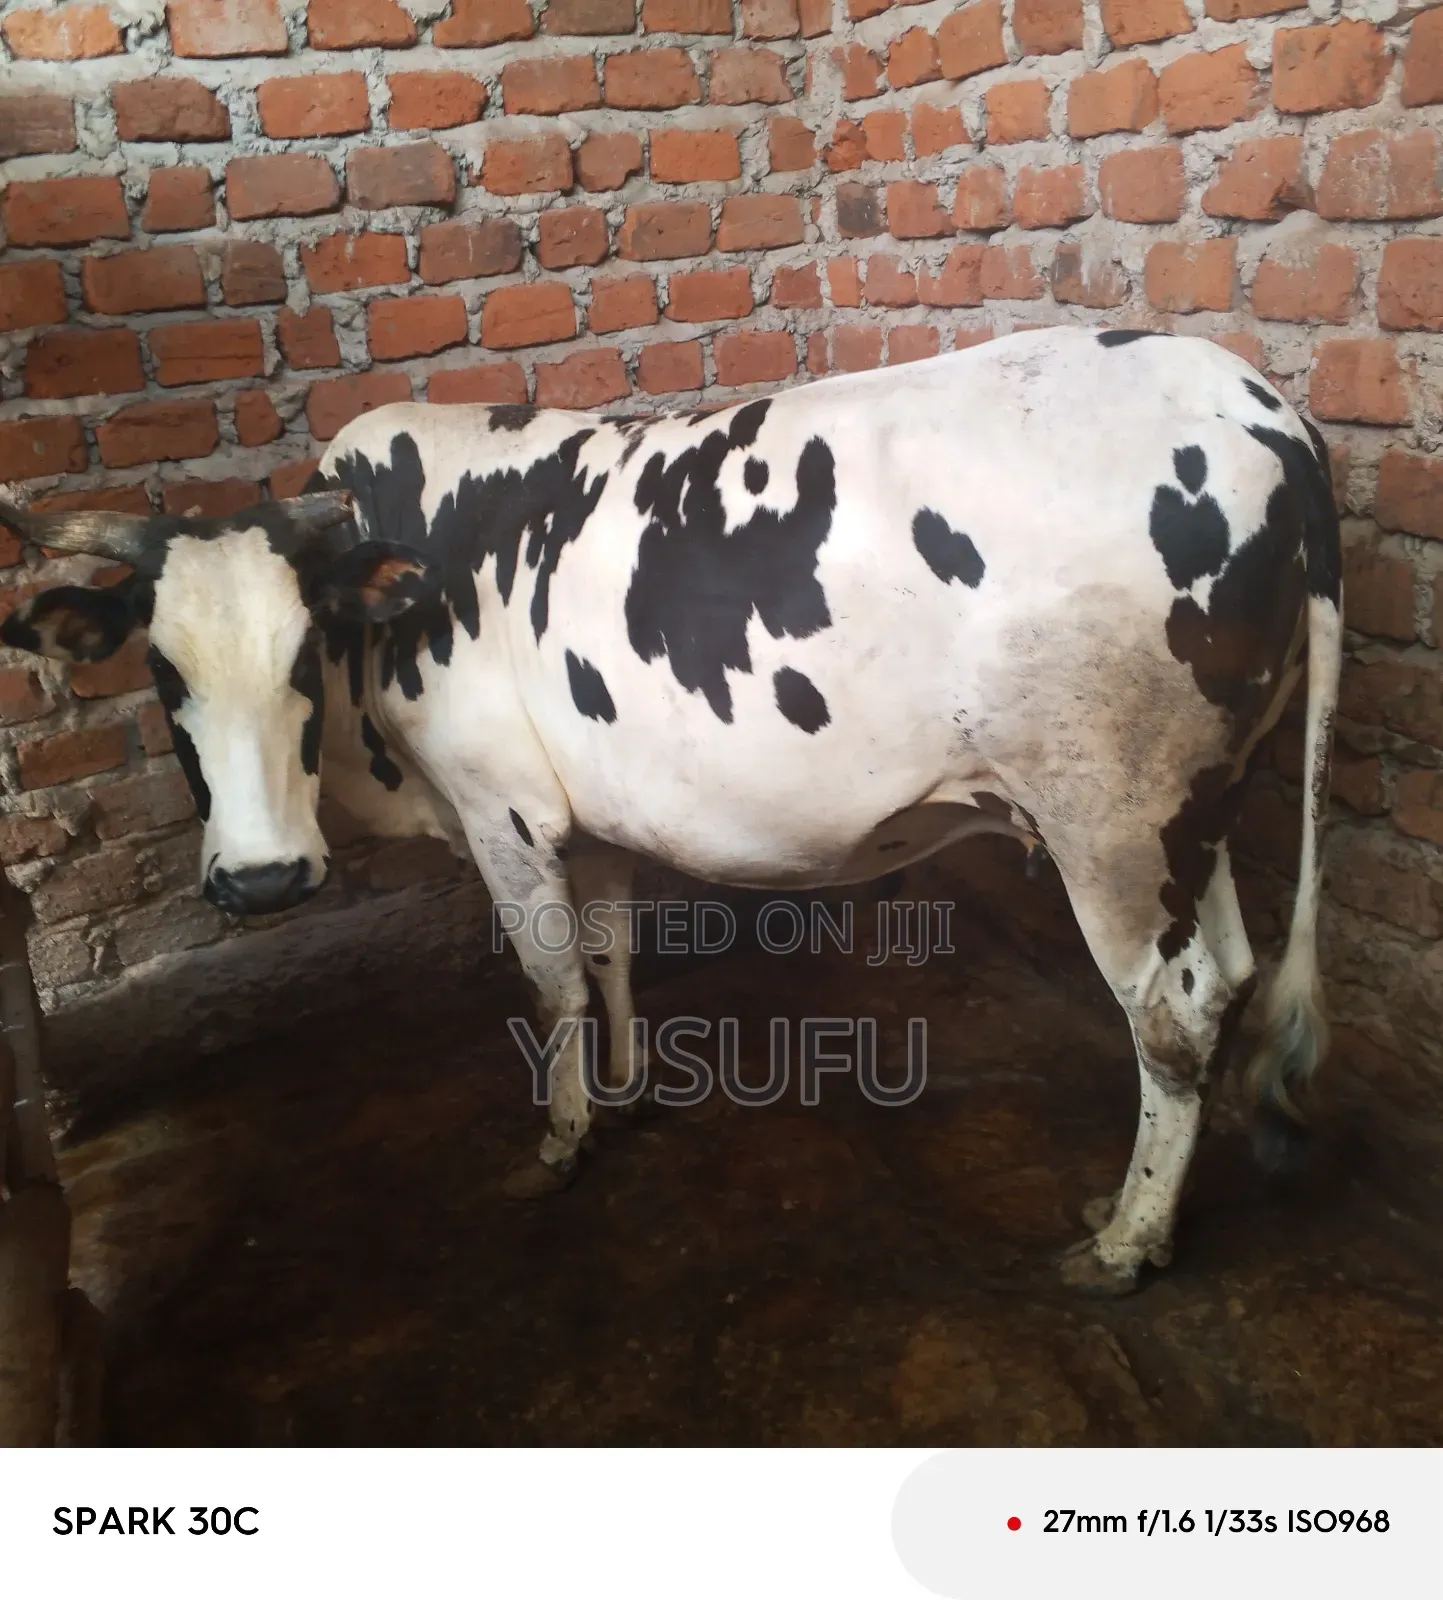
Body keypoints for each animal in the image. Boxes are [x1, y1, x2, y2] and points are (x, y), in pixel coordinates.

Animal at [0, 326, 1341, 1295]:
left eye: (298, 654)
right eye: (163, 671)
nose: (262, 878)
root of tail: (1258, 402)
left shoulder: (499, 810)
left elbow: (548, 981)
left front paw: (561, 1140)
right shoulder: (584, 815)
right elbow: (608, 952)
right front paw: (630, 1089)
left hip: (1111, 814)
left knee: (1169, 1011)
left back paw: (1126, 1241)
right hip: (1197, 807)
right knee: (1227, 973)